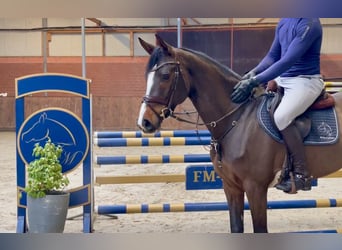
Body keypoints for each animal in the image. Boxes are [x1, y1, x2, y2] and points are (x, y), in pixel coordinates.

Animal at [136, 33, 342, 232]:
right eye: (146, 76)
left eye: (165, 76)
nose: (144, 122)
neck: (238, 117)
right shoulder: (231, 186)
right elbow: (236, 227)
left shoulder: (255, 188)